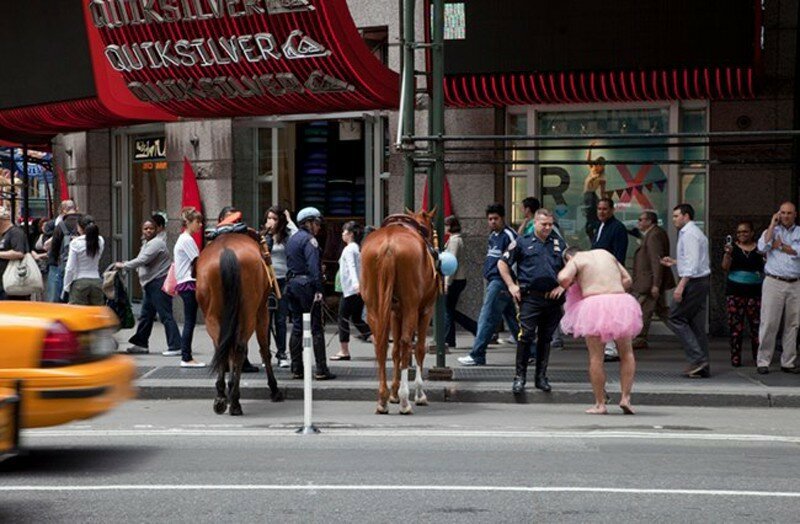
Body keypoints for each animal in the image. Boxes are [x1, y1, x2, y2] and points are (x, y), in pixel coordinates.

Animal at [195, 235, 282, 416]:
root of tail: (227, 252)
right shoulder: (262, 311)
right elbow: (264, 350)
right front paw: (274, 388)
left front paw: (226, 389)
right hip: (249, 313)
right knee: (240, 348)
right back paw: (235, 401)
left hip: (212, 316)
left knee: (222, 347)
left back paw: (221, 397)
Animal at [360, 208, 440, 414]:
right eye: (432, 226)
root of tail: (388, 245)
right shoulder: (425, 310)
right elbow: (418, 348)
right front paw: (418, 393)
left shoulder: (395, 312)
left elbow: (395, 350)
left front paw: (393, 393)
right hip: (412, 306)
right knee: (406, 343)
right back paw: (405, 400)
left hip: (374, 308)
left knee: (381, 345)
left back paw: (383, 398)